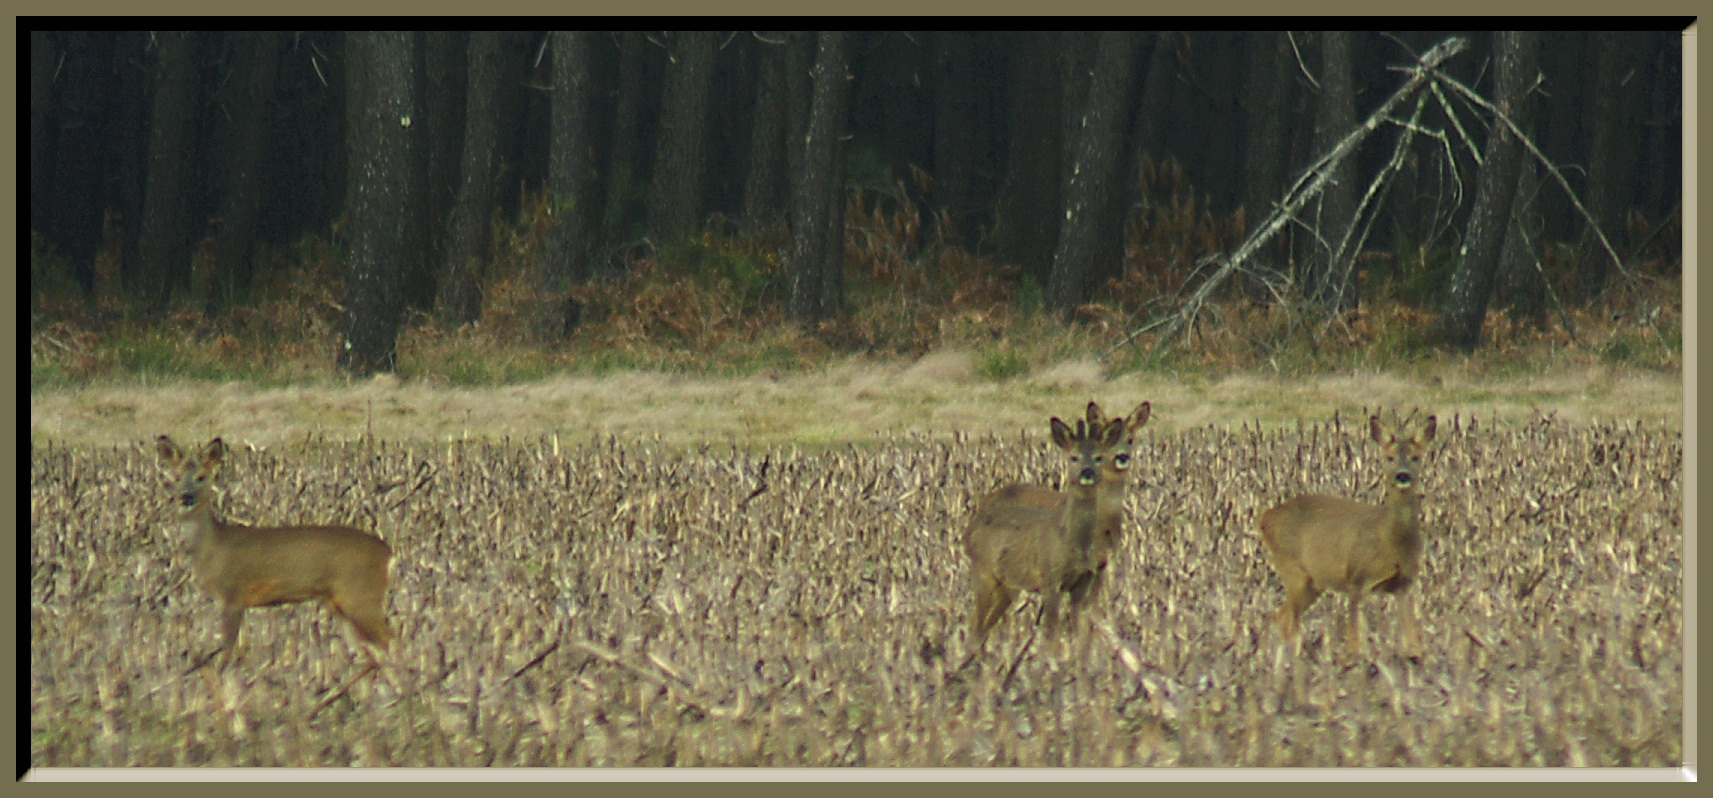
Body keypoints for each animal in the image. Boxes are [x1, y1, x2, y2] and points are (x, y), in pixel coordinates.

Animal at [155, 436, 392, 698]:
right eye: (176, 476)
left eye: (202, 476)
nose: (186, 497)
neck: (211, 547)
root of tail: (387, 553)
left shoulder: (233, 593)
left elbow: (227, 650)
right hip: (340, 602)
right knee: (370, 651)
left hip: (361, 593)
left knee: (389, 639)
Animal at [959, 410, 1130, 654]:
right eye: (1073, 457)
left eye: (1098, 457)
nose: (1087, 472)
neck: (1068, 540)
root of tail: (969, 529)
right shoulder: (1050, 577)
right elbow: (1052, 632)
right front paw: (1052, 659)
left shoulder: (1084, 582)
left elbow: (1081, 631)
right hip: (983, 572)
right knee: (975, 625)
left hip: (1007, 586)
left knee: (983, 626)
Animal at [1260, 410, 1432, 661]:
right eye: (1389, 457)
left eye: (1416, 457)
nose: (1402, 476)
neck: (1390, 541)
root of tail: (1264, 518)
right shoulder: (1356, 578)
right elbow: (1354, 640)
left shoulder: (1405, 584)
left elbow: (1413, 640)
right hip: (1293, 570)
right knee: (1286, 619)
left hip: (1313, 582)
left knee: (1281, 616)